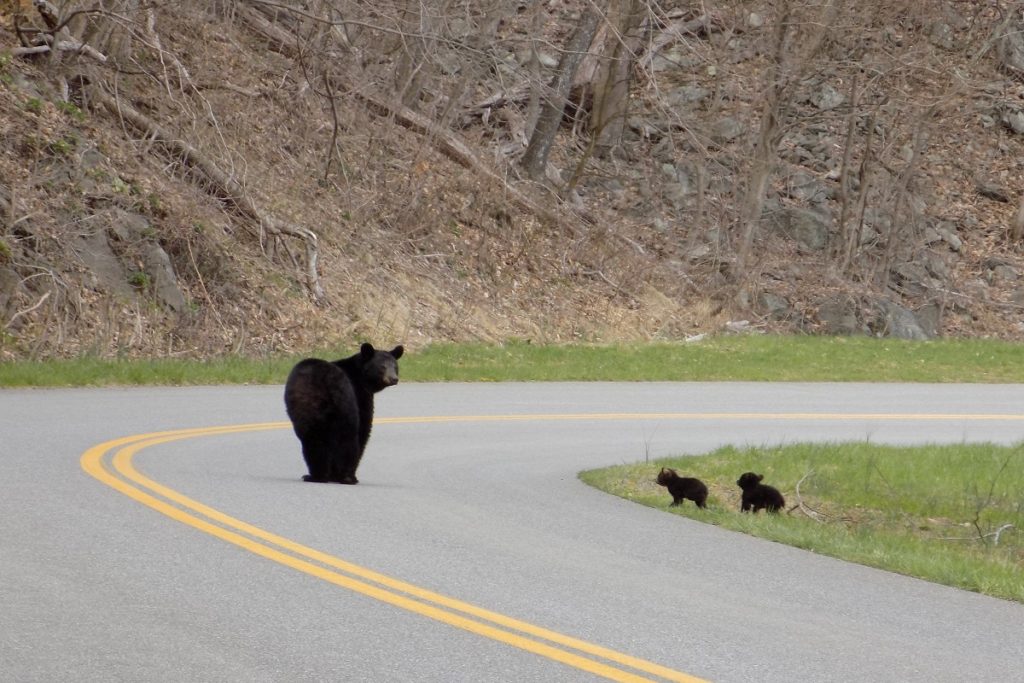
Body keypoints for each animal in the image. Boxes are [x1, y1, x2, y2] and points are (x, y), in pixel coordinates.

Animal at [283, 342, 403, 484]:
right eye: (382, 366)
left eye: (395, 366)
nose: (394, 379)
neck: (361, 376)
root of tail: (325, 381)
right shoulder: (360, 395)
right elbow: (364, 427)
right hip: (344, 405)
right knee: (348, 438)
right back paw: (346, 476)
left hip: (305, 411)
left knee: (313, 439)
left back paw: (317, 475)